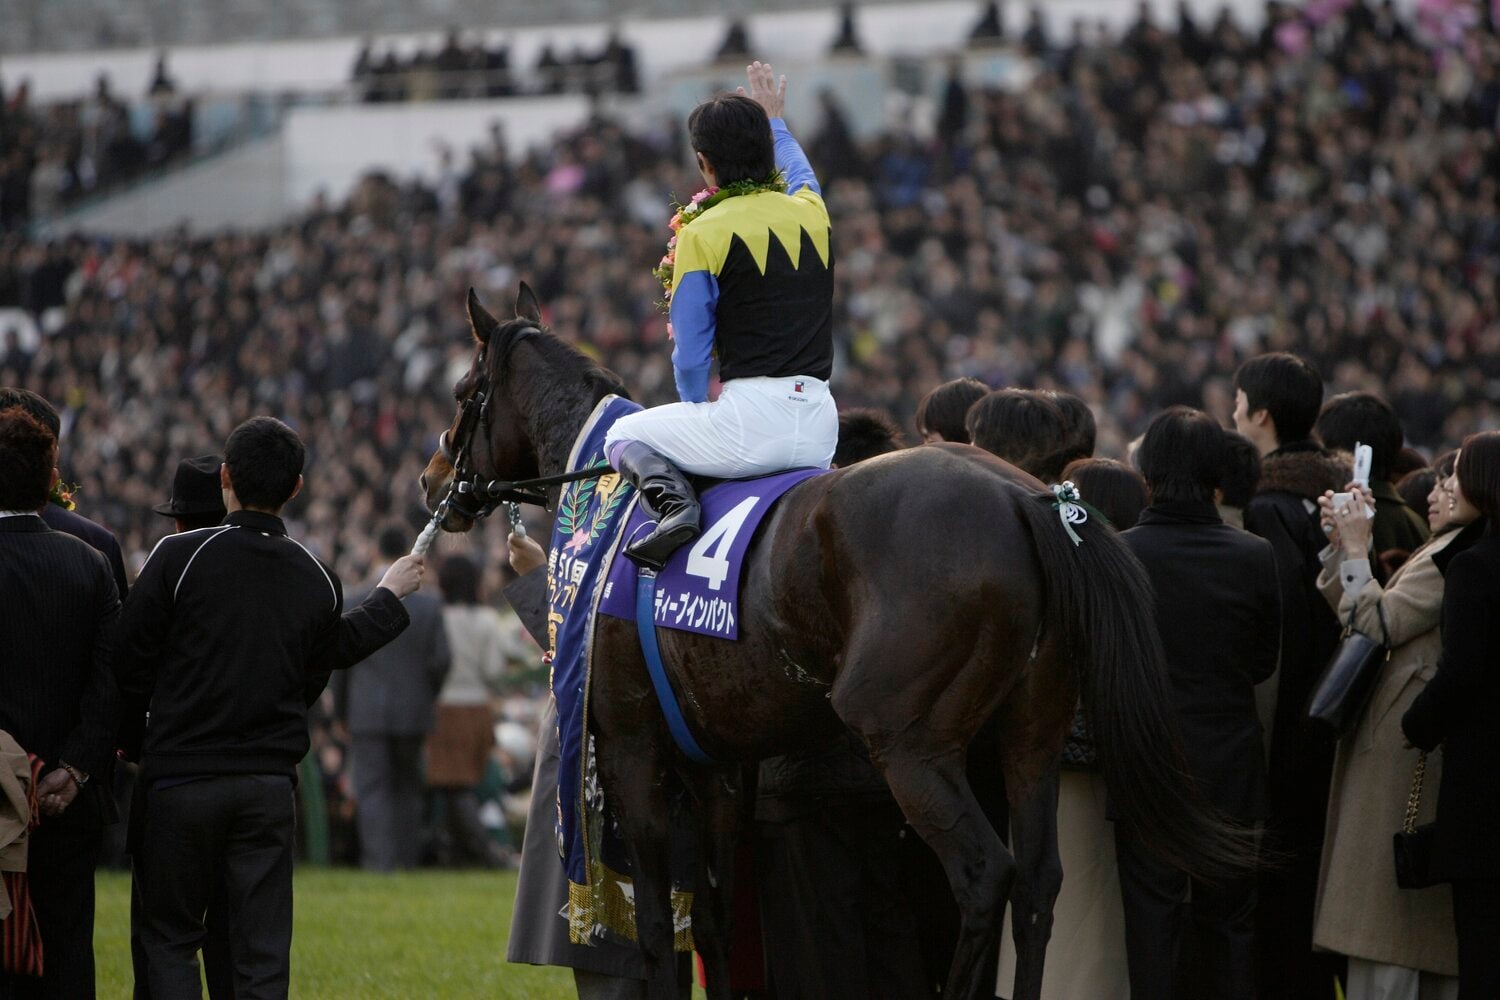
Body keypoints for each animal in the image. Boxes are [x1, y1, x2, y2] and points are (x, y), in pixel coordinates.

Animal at [421, 285, 1255, 1000]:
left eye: (464, 393)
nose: (433, 481)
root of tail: (1030, 500)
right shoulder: (716, 765)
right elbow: (715, 924)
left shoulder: (633, 747)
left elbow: (658, 930)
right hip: (1034, 734)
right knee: (1041, 885)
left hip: (908, 742)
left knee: (987, 874)